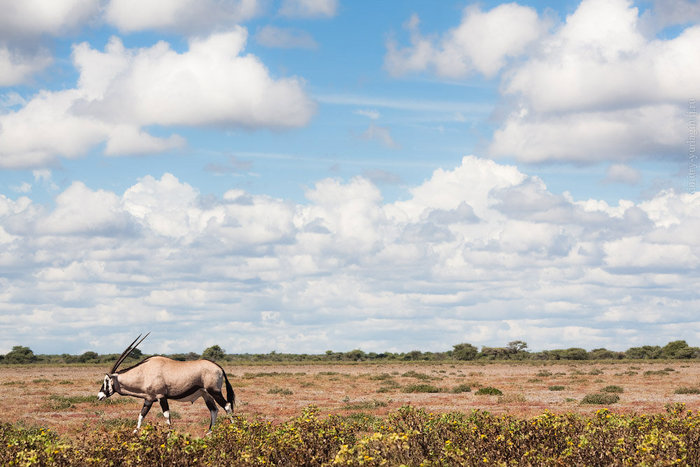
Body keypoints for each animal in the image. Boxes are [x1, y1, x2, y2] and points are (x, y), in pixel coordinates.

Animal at [97, 334, 237, 434]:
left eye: (106, 381)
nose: (99, 396)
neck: (144, 372)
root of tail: (218, 367)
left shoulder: (161, 396)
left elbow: (166, 416)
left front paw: (169, 436)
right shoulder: (148, 399)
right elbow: (141, 416)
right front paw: (134, 434)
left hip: (214, 391)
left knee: (227, 406)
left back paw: (235, 430)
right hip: (205, 394)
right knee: (214, 410)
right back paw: (209, 433)